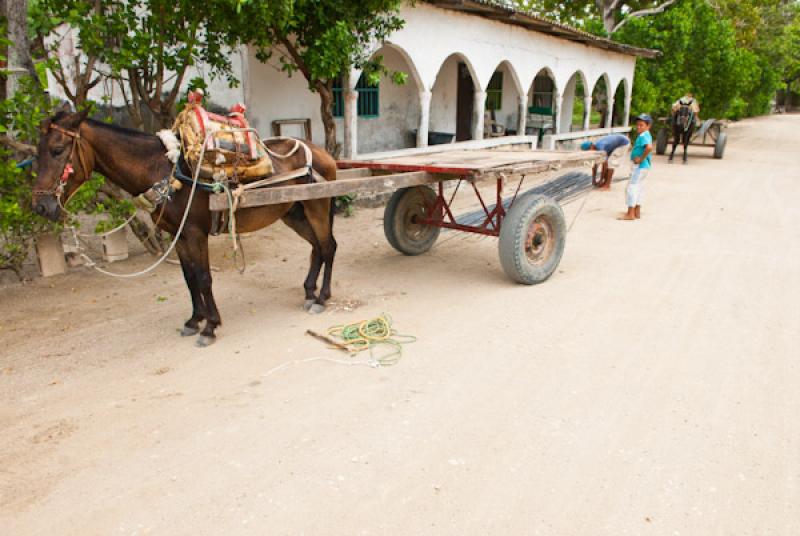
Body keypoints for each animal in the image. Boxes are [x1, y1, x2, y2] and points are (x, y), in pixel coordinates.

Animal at [30, 108, 338, 348]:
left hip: (317, 206)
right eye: (36, 153)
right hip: (294, 212)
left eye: (57, 150)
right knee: (316, 247)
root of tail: (323, 153)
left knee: (328, 246)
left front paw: (210, 327)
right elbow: (189, 277)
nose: (40, 207)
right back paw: (309, 292)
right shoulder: (176, 234)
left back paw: (322, 298)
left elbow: (203, 277)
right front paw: (194, 320)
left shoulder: (194, 233)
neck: (162, 169)